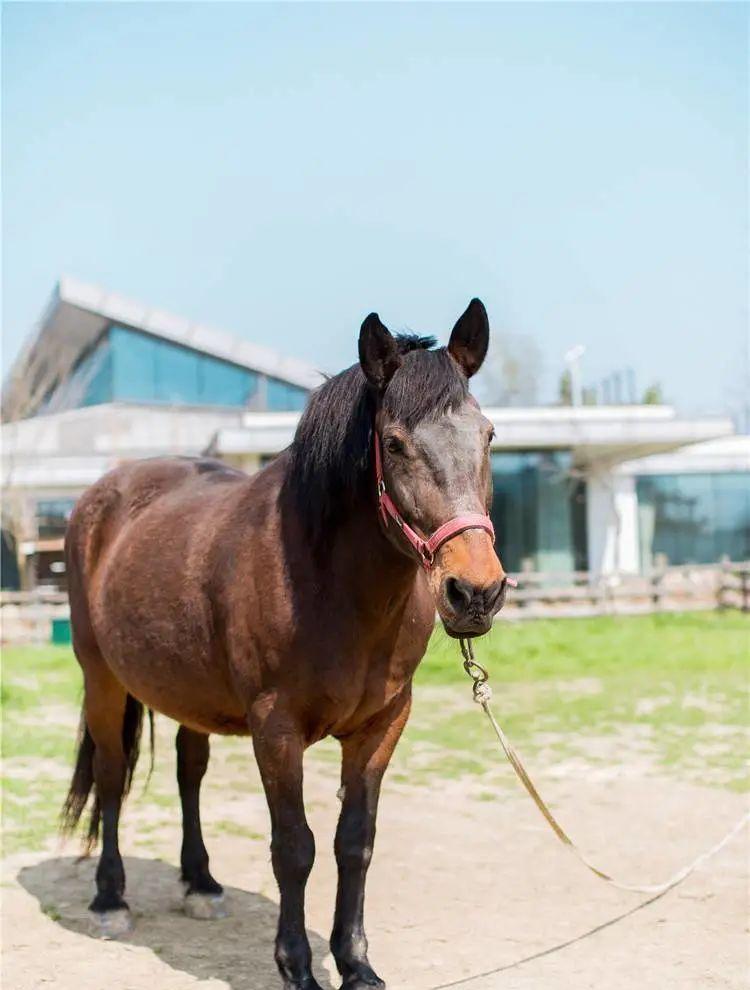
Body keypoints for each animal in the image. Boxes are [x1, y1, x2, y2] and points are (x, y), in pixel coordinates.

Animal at [63, 298, 512, 988]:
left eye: (487, 436)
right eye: (392, 443)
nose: (475, 592)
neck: (328, 582)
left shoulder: (384, 724)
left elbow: (355, 841)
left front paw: (356, 963)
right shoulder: (275, 728)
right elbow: (294, 847)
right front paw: (297, 966)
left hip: (188, 689)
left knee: (189, 772)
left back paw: (201, 884)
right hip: (102, 679)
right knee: (113, 777)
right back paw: (110, 899)